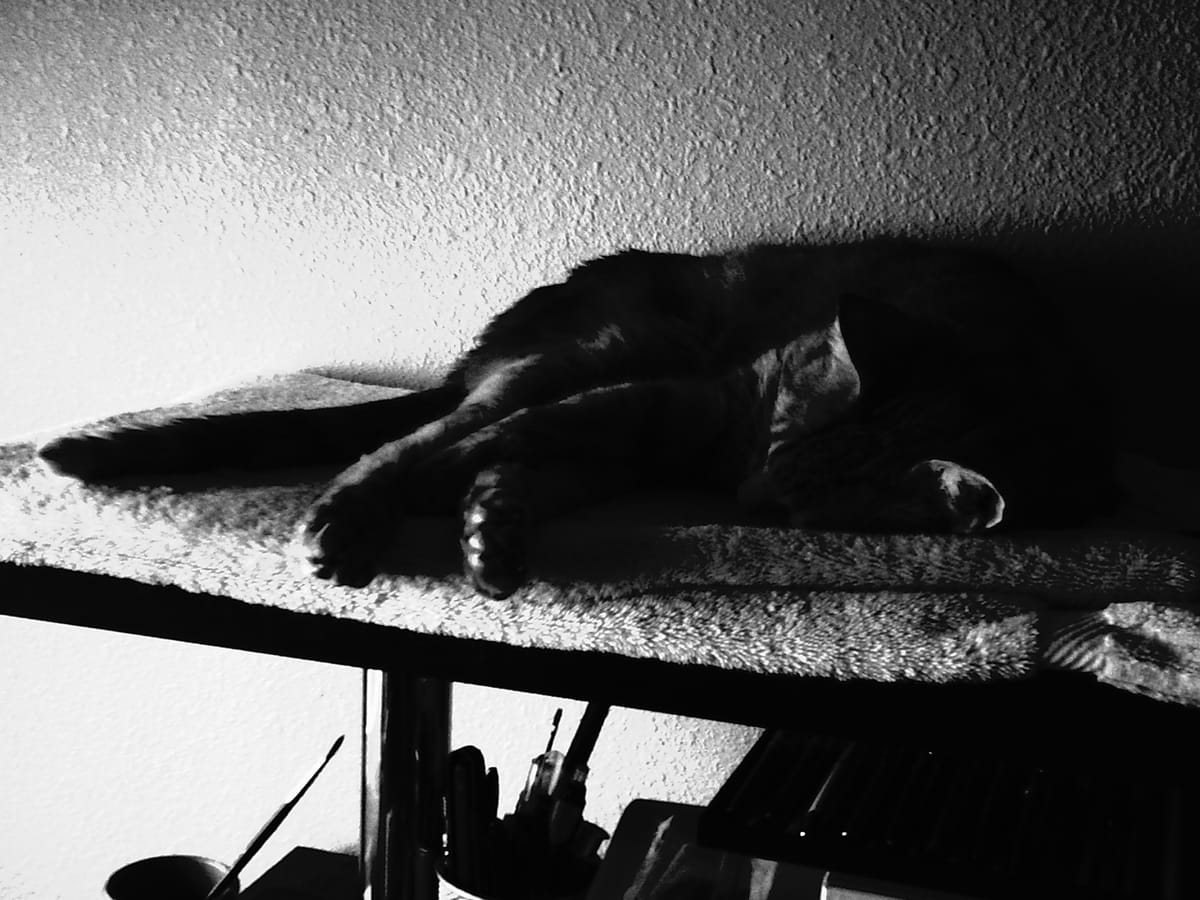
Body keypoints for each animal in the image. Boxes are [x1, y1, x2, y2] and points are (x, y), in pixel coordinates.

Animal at [37, 240, 1108, 600]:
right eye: (782, 442)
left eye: (798, 508)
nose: (744, 489)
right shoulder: (699, 399)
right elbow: (463, 444)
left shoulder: (681, 424)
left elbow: (512, 449)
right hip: (605, 352)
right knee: (429, 434)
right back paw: (356, 521)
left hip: (614, 424)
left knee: (519, 462)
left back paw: (491, 538)